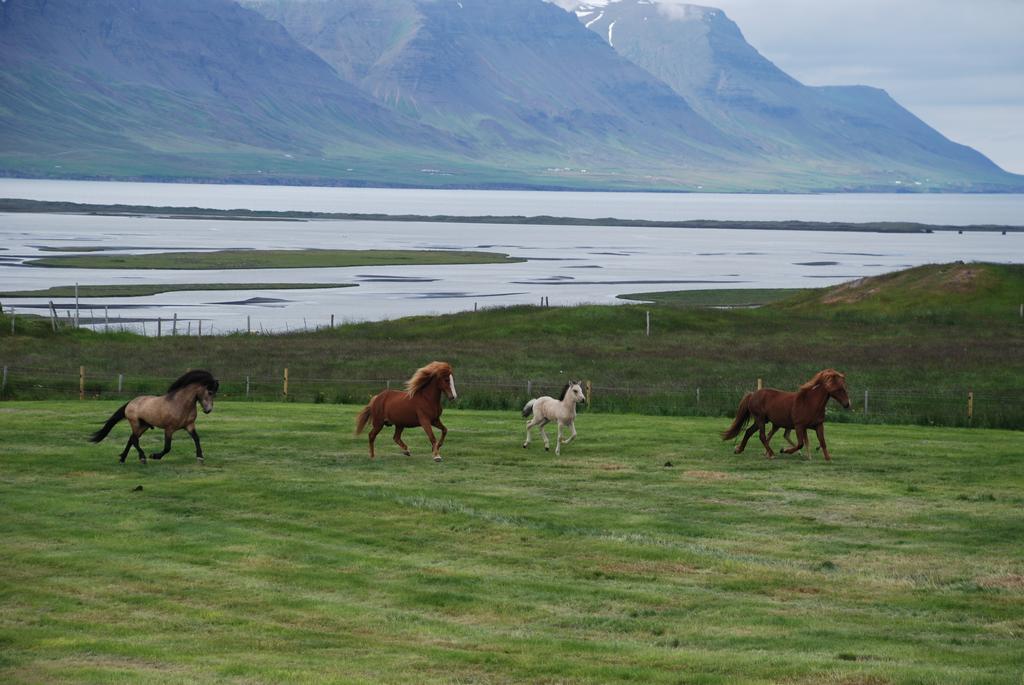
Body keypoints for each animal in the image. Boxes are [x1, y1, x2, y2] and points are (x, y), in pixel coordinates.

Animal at [89, 368, 218, 464]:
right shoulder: (169, 429)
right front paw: (155, 456)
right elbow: (167, 447)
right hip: (135, 423)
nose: (208, 410)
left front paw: (200, 457)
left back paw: (123, 459)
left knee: (131, 439)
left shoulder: (189, 425)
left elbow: (196, 438)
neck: (180, 404)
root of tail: (131, 402)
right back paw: (142, 458)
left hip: (144, 426)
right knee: (134, 439)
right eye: (210, 392)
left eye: (214, 393)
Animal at [716, 368, 851, 458]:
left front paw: (828, 459)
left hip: (762, 420)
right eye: (839, 389)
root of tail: (753, 394)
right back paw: (771, 453)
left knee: (749, 432)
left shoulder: (818, 425)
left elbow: (822, 442)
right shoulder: (799, 426)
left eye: (844, 387)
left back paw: (739, 449)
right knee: (762, 436)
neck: (810, 403)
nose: (847, 404)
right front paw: (784, 450)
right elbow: (800, 444)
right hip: (760, 419)